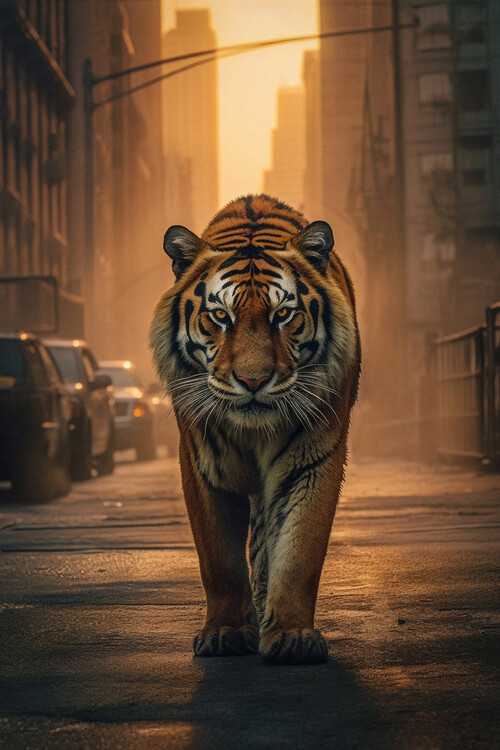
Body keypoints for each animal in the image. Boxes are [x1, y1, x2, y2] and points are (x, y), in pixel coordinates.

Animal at [150, 194, 360, 664]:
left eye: (283, 315)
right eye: (220, 316)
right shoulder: (202, 463)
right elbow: (220, 559)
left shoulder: (313, 460)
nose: (252, 380)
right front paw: (225, 631)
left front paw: (291, 635)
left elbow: (298, 552)